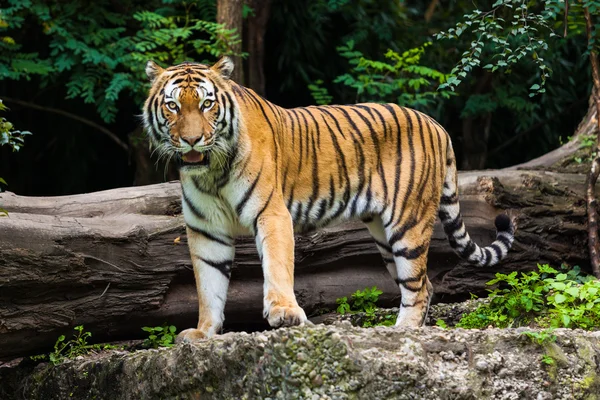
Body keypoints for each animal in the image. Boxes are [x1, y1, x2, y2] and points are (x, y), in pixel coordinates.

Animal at [142, 57, 516, 344]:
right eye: (173, 105)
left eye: (207, 104)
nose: (192, 140)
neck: (212, 171)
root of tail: (437, 125)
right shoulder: (205, 229)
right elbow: (209, 284)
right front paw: (204, 333)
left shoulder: (271, 213)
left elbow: (276, 266)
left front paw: (284, 313)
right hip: (384, 236)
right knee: (425, 284)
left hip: (408, 224)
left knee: (418, 287)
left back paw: (402, 333)